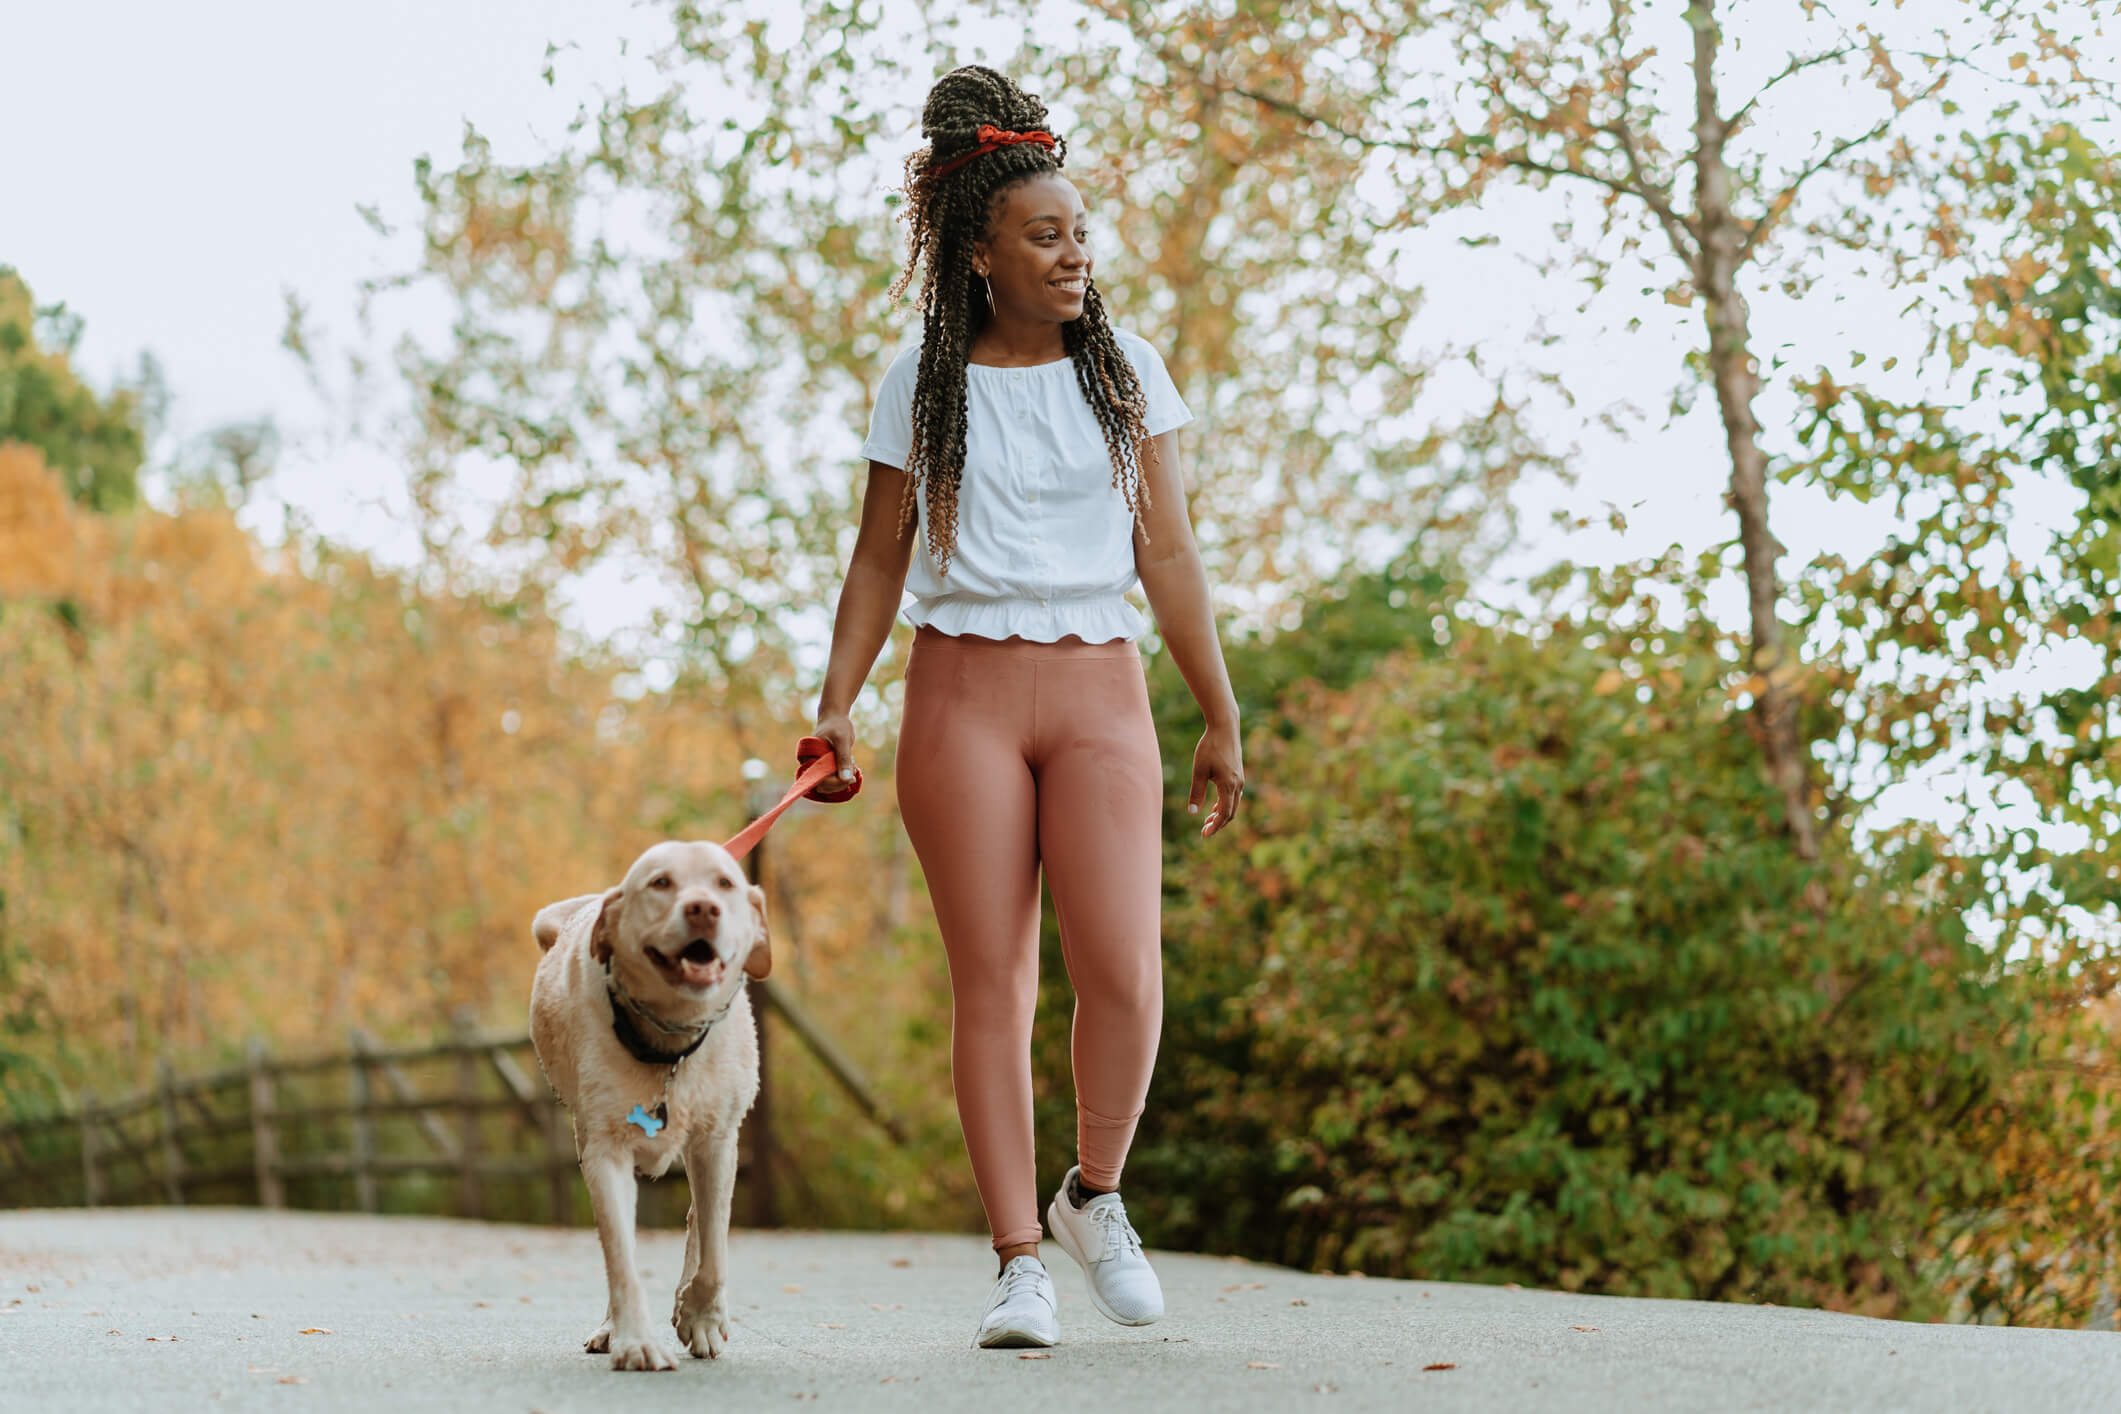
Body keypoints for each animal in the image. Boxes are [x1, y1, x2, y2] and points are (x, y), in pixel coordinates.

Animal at [534, 839, 776, 1373]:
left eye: (724, 884)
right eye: (661, 883)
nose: (703, 908)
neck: (671, 1044)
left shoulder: (717, 1142)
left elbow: (714, 1248)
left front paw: (700, 1316)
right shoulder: (605, 1149)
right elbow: (620, 1256)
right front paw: (634, 1341)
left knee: (700, 1221)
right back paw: (612, 1327)